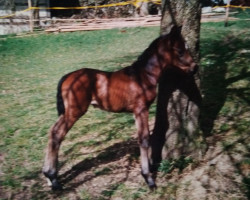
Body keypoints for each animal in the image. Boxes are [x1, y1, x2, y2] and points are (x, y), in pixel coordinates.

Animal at [42, 25, 197, 190]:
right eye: (180, 50)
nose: (194, 67)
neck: (143, 75)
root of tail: (67, 77)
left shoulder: (137, 112)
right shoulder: (141, 109)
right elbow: (144, 139)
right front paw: (148, 178)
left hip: (68, 112)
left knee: (52, 132)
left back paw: (49, 177)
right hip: (74, 111)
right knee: (57, 134)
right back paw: (53, 178)